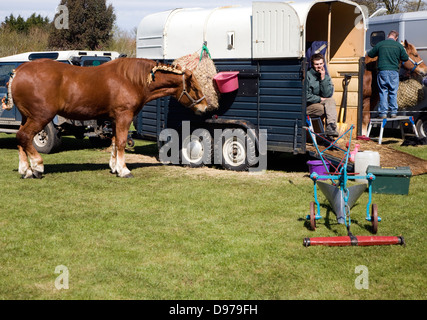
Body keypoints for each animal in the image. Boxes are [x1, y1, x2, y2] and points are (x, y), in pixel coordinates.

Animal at [9, 57, 210, 178]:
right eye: (194, 87)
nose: (205, 107)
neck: (132, 79)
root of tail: (19, 70)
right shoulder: (124, 116)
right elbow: (121, 142)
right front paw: (124, 169)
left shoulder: (113, 119)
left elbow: (113, 142)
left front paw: (114, 166)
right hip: (40, 117)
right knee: (24, 137)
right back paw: (37, 167)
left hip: (27, 117)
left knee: (20, 139)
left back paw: (25, 169)